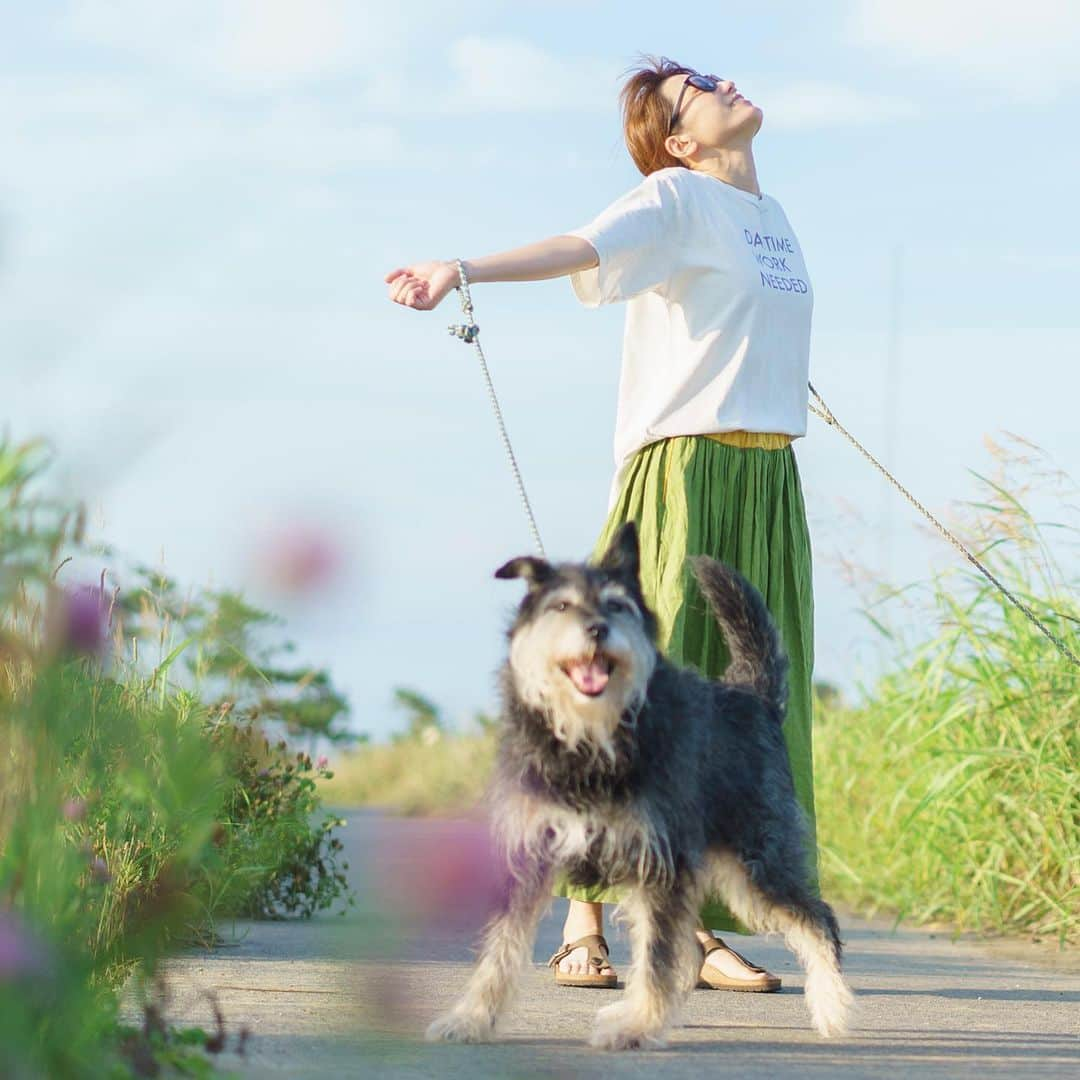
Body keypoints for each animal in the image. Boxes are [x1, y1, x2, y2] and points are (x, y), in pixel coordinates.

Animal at [423, 518, 851, 1049]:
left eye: (617, 605)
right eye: (561, 606)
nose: (596, 630)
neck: (589, 741)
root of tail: (753, 695)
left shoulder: (660, 859)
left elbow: (658, 954)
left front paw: (636, 1025)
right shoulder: (528, 853)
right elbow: (497, 953)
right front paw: (470, 1019)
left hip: (757, 858)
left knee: (817, 920)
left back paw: (831, 1007)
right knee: (690, 950)